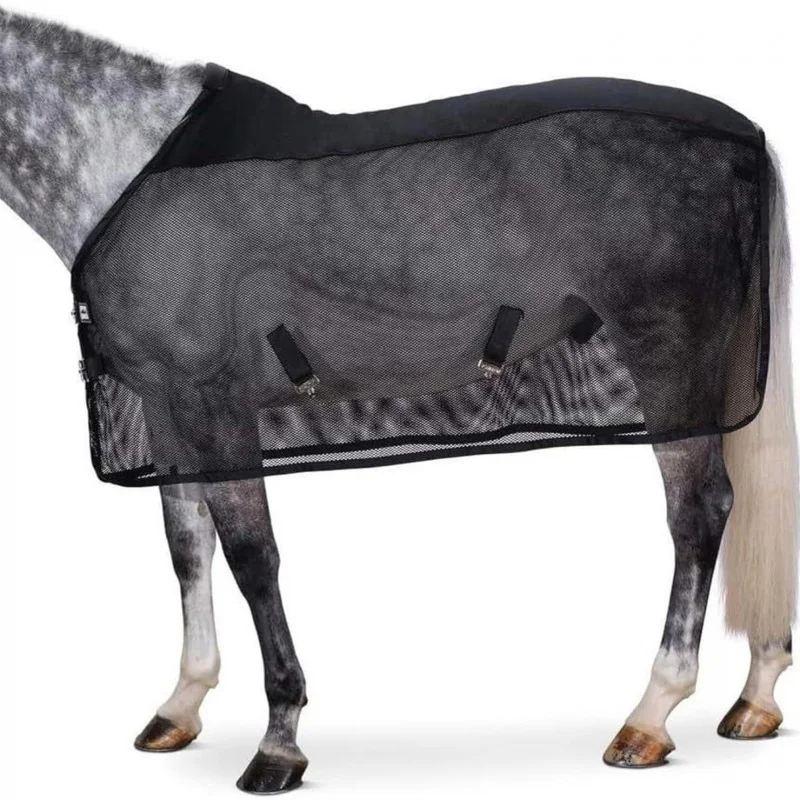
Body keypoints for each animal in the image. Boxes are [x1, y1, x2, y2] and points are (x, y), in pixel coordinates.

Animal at [1, 7, 797, 795]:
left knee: (699, 512)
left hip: (669, 357)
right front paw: (181, 705)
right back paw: (754, 699)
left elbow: (253, 558)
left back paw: (651, 714)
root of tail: (746, 137)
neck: (124, 162)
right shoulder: (168, 408)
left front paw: (279, 741)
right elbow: (187, 550)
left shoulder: (216, 403)